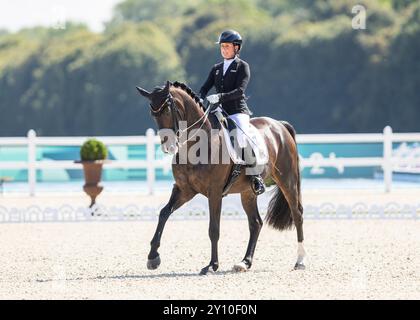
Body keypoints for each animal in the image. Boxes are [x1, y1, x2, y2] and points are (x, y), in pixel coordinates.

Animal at [137, 81, 306, 274]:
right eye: (153, 114)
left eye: (166, 111)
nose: (169, 147)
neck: (198, 145)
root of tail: (280, 125)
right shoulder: (184, 190)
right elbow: (164, 213)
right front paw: (153, 257)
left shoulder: (215, 192)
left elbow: (214, 228)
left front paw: (212, 265)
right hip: (248, 192)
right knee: (255, 223)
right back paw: (244, 262)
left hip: (288, 180)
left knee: (297, 214)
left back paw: (300, 261)